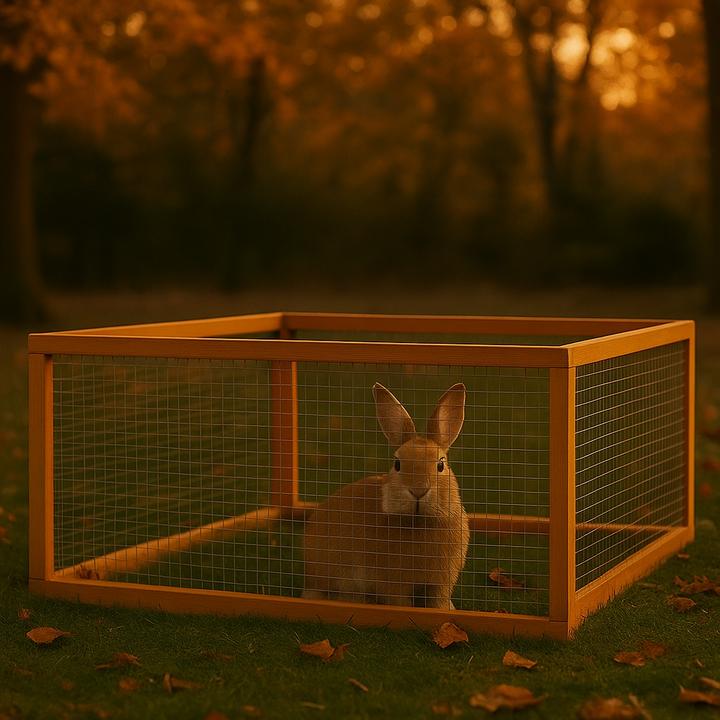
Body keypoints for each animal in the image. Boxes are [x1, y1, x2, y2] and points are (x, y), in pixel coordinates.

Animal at [302, 382, 470, 610]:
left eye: (440, 465)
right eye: (397, 464)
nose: (418, 490)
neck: (419, 522)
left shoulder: (441, 581)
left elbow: (438, 601)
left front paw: (446, 610)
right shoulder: (392, 583)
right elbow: (399, 601)